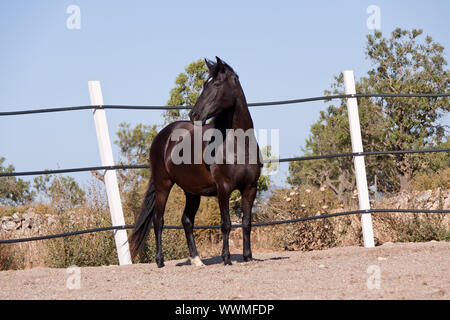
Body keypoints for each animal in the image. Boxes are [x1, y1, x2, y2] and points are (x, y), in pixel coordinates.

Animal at [128, 57, 262, 268]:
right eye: (204, 84)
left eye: (215, 84)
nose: (194, 115)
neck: (238, 145)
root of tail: (163, 136)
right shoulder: (223, 189)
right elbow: (226, 224)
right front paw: (226, 258)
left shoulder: (250, 187)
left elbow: (247, 222)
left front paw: (248, 257)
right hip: (163, 185)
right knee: (159, 220)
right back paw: (160, 261)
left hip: (192, 191)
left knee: (186, 220)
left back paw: (197, 259)